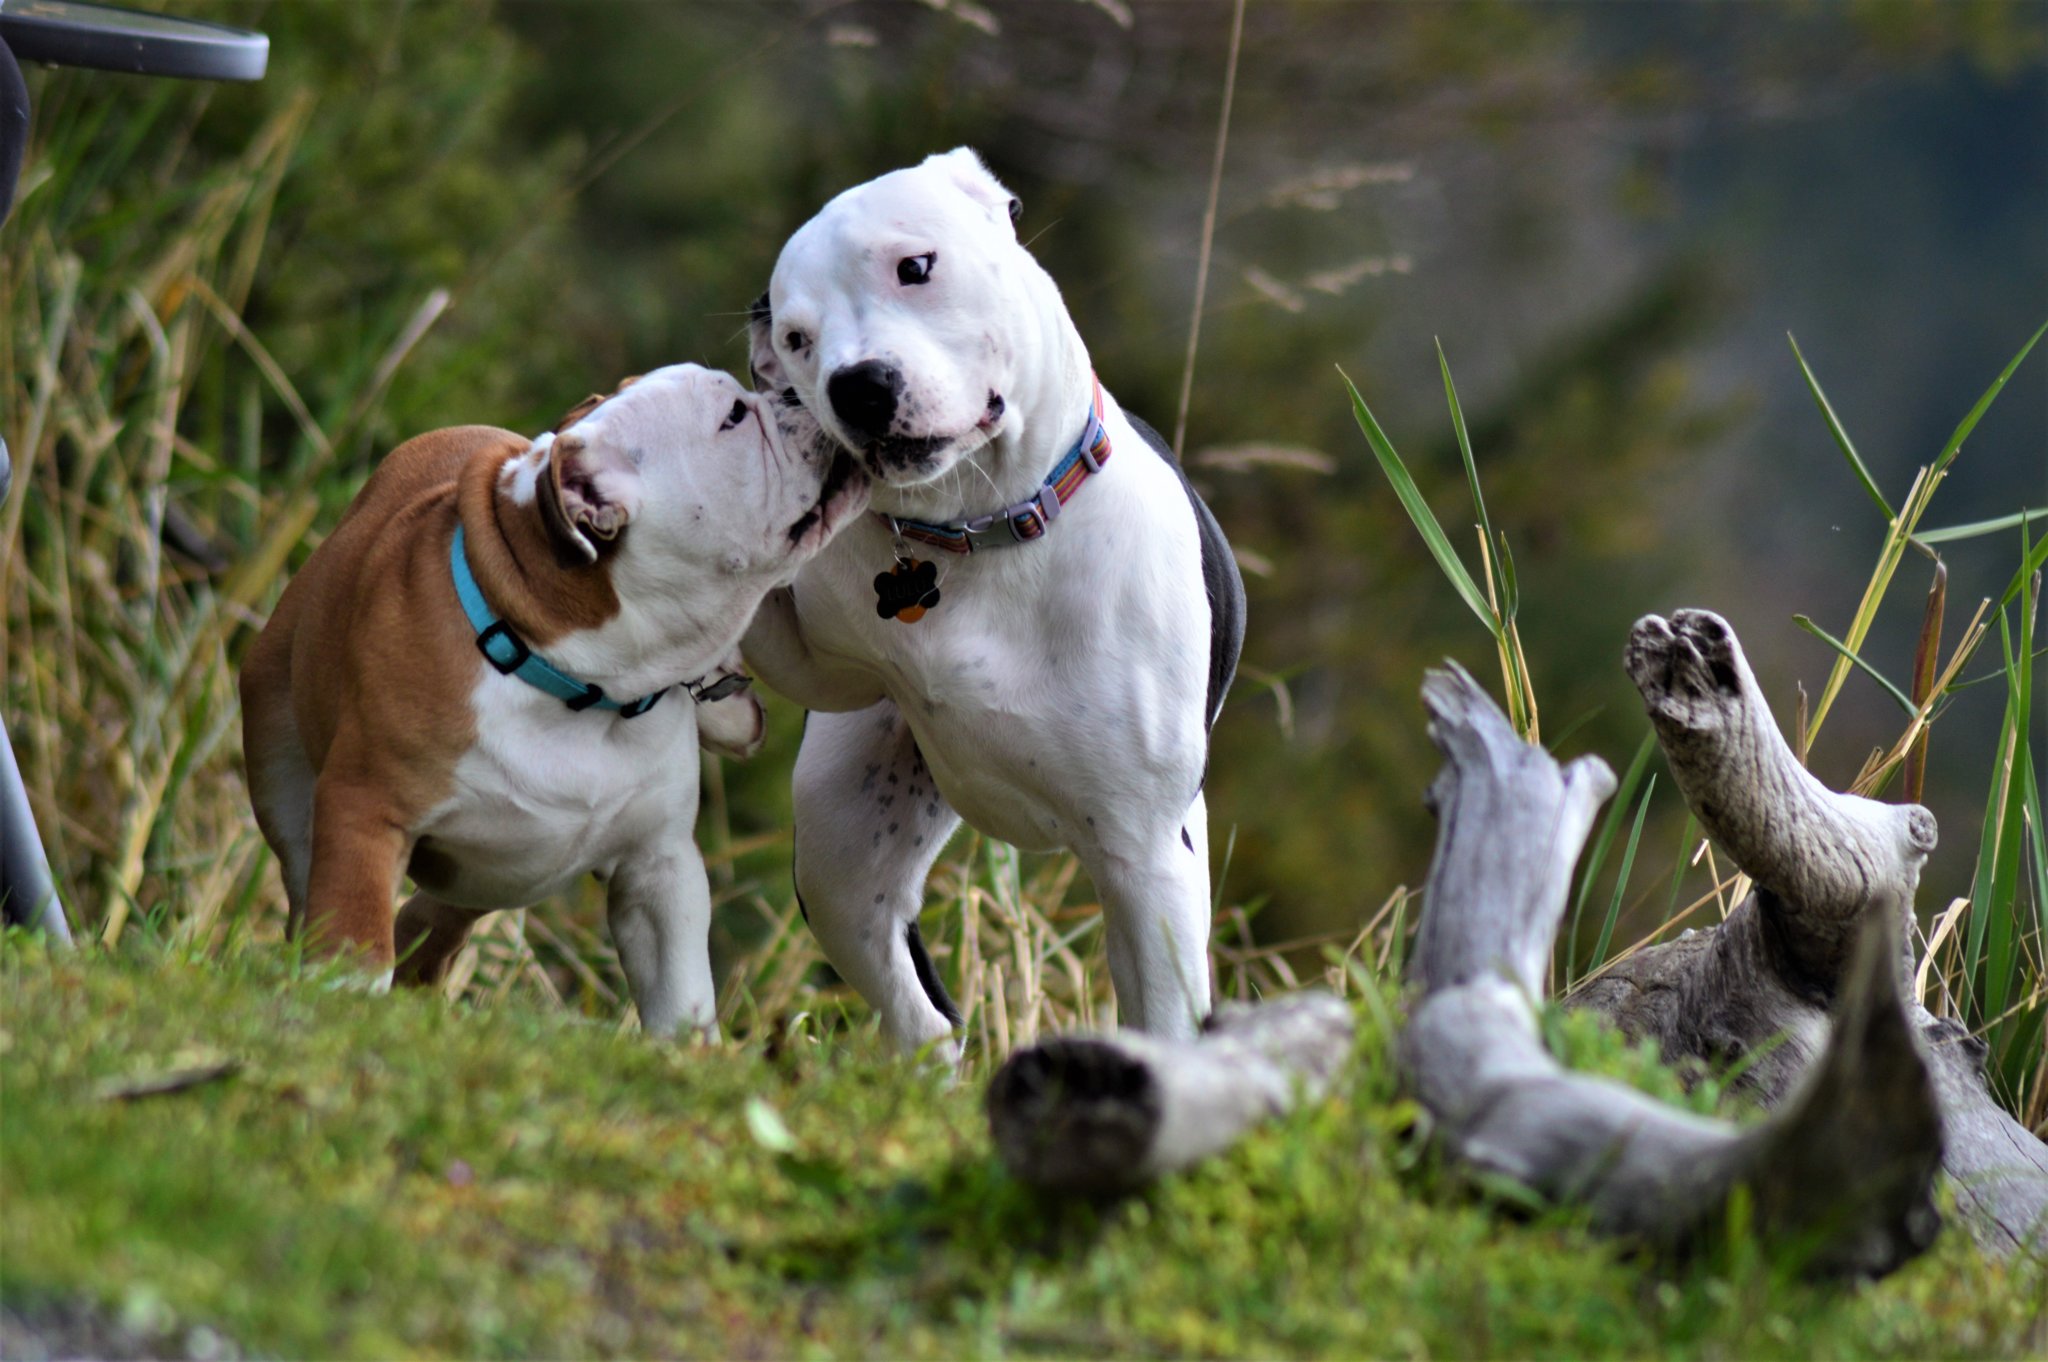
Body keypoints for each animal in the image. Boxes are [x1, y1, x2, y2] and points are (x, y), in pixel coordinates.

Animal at [237, 360, 864, 1032]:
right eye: (735, 417)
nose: (795, 391)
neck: (582, 681)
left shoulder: (658, 867)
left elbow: (681, 997)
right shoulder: (366, 811)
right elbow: (355, 935)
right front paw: (345, 1004)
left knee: (441, 912)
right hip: (282, 759)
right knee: (309, 877)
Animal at [745, 148, 1236, 1048]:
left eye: (916, 267)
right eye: (796, 339)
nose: (854, 385)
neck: (979, 531)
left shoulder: (1150, 857)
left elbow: (1165, 1024)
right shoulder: (816, 662)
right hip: (841, 843)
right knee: (921, 1012)